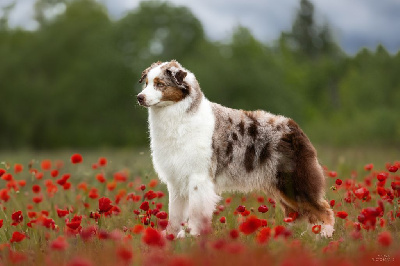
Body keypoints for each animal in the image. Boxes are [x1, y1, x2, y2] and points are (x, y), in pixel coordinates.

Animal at [137, 59, 334, 237]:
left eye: (160, 84)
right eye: (146, 83)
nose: (139, 97)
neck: (177, 115)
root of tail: (293, 127)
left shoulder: (198, 177)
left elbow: (195, 212)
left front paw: (190, 236)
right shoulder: (177, 179)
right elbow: (175, 214)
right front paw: (170, 237)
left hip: (293, 182)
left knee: (323, 210)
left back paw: (323, 236)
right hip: (282, 186)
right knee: (297, 213)